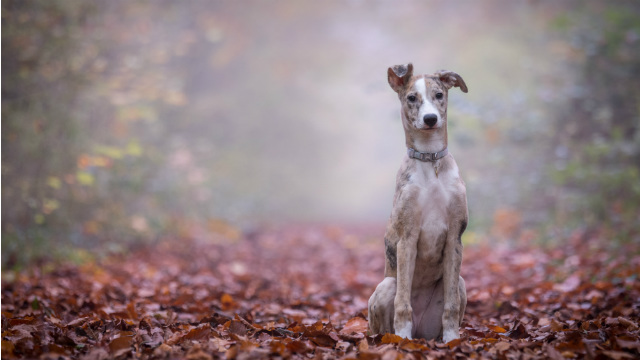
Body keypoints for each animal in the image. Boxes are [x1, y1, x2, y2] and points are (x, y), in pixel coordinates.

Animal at [368, 63, 468, 342]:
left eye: (439, 95)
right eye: (412, 98)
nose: (430, 119)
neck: (429, 159)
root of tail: (422, 332)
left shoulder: (455, 237)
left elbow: (451, 305)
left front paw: (453, 340)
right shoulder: (407, 238)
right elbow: (403, 303)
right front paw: (402, 340)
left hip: (461, 283)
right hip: (386, 286)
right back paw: (397, 338)